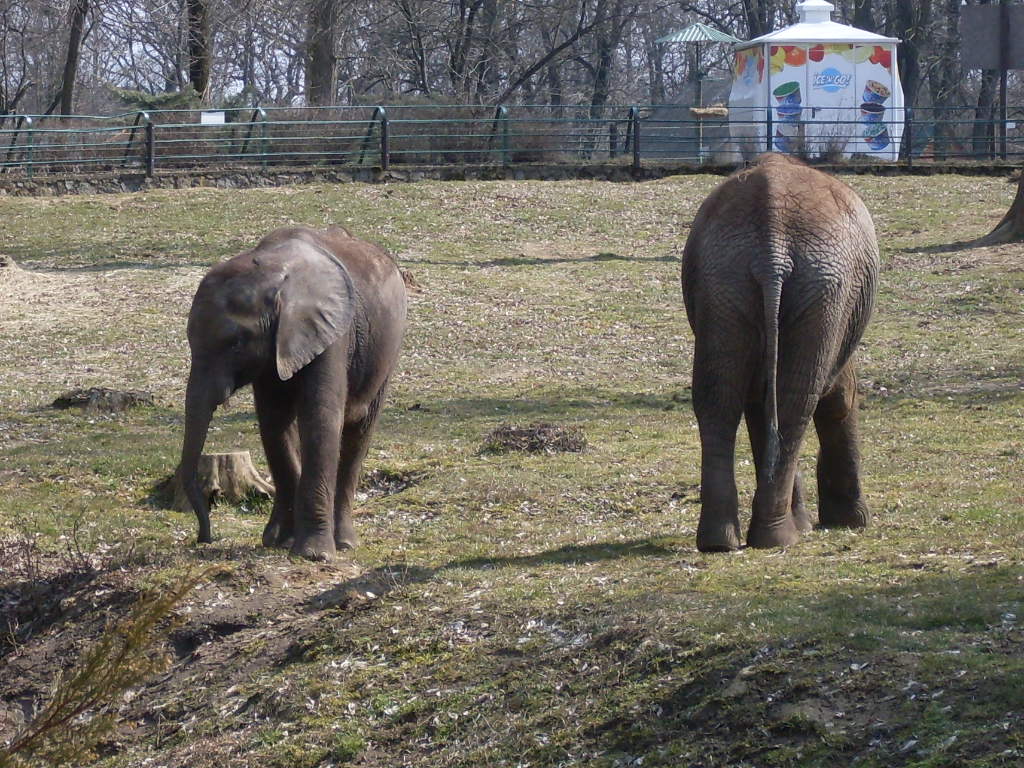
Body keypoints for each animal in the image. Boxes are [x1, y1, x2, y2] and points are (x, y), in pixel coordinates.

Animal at [177, 226, 407, 560]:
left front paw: (313, 555)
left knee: (359, 432)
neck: (275, 273)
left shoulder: (331, 334)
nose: (204, 538)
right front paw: (280, 542)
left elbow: (320, 418)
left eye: (235, 343)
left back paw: (344, 543)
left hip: (389, 350)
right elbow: (275, 423)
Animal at [680, 153, 879, 552]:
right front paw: (851, 522)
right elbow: (840, 397)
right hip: (823, 289)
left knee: (719, 398)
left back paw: (720, 541)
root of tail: (772, 249)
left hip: (723, 280)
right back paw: (779, 538)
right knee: (795, 403)